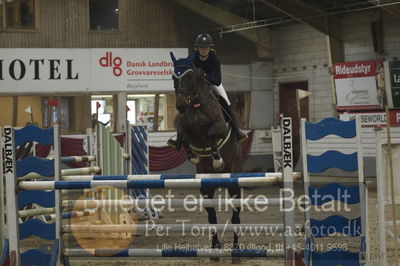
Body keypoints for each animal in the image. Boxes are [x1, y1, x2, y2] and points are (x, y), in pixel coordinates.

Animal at [170, 51, 242, 249]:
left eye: (190, 77)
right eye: (174, 77)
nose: (180, 105)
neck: (196, 106)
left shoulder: (220, 128)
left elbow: (212, 134)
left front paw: (216, 156)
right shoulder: (185, 129)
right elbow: (184, 137)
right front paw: (192, 154)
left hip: (234, 182)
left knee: (236, 215)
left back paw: (236, 246)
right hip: (206, 188)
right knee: (212, 216)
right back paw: (216, 245)